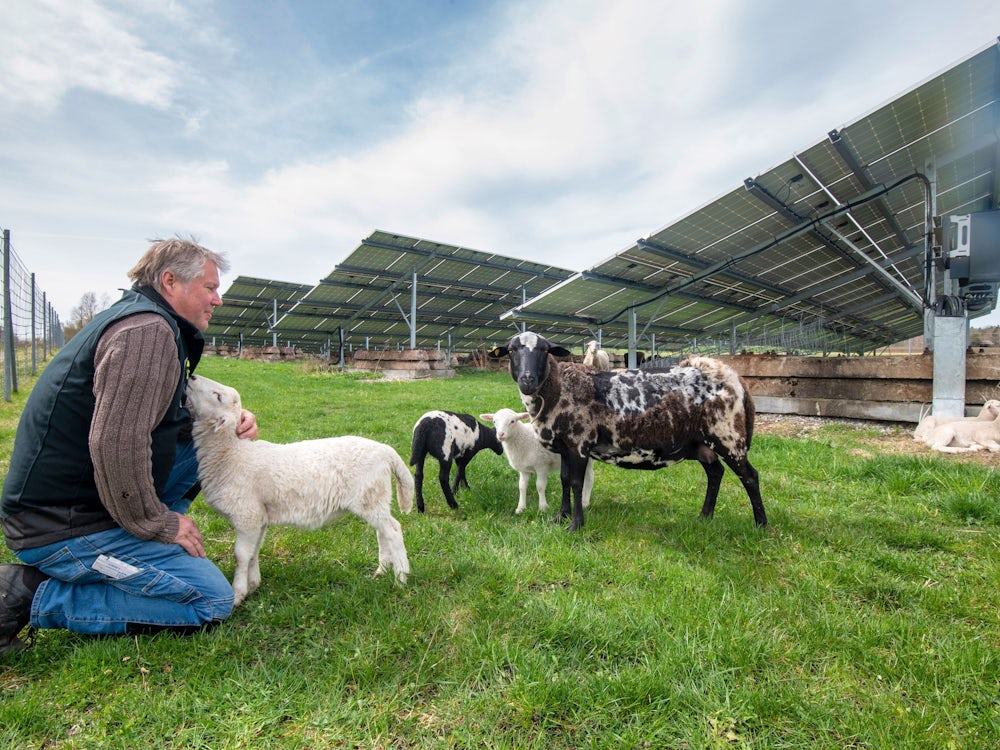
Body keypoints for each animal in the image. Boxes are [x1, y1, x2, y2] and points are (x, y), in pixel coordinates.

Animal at [186, 374, 412, 608]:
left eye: (217, 396)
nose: (191, 376)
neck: (230, 454)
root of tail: (385, 450)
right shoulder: (259, 516)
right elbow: (254, 552)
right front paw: (253, 584)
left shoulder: (246, 515)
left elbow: (241, 555)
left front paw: (237, 594)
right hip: (374, 497)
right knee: (382, 531)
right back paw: (382, 570)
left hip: (369, 496)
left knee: (393, 530)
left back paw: (401, 577)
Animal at [488, 332, 768, 532]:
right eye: (511, 350)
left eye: (545, 350)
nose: (527, 380)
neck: (558, 390)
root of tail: (733, 377)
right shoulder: (564, 447)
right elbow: (565, 480)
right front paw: (560, 517)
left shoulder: (579, 443)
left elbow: (577, 483)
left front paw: (575, 525)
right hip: (700, 443)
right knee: (715, 472)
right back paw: (704, 517)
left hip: (728, 436)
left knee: (750, 477)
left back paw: (761, 525)